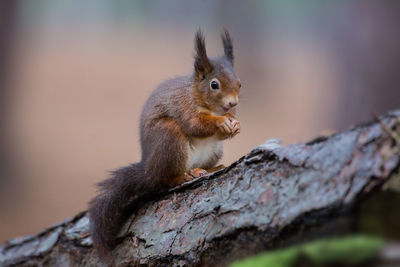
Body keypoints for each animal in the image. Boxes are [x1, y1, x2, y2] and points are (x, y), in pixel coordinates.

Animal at [88, 28, 241, 260]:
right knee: (165, 180)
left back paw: (209, 169)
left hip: (214, 151)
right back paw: (186, 175)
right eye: (214, 84)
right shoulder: (182, 106)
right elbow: (195, 125)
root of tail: (148, 170)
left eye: (240, 83)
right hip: (170, 139)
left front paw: (235, 123)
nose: (233, 103)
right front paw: (220, 122)